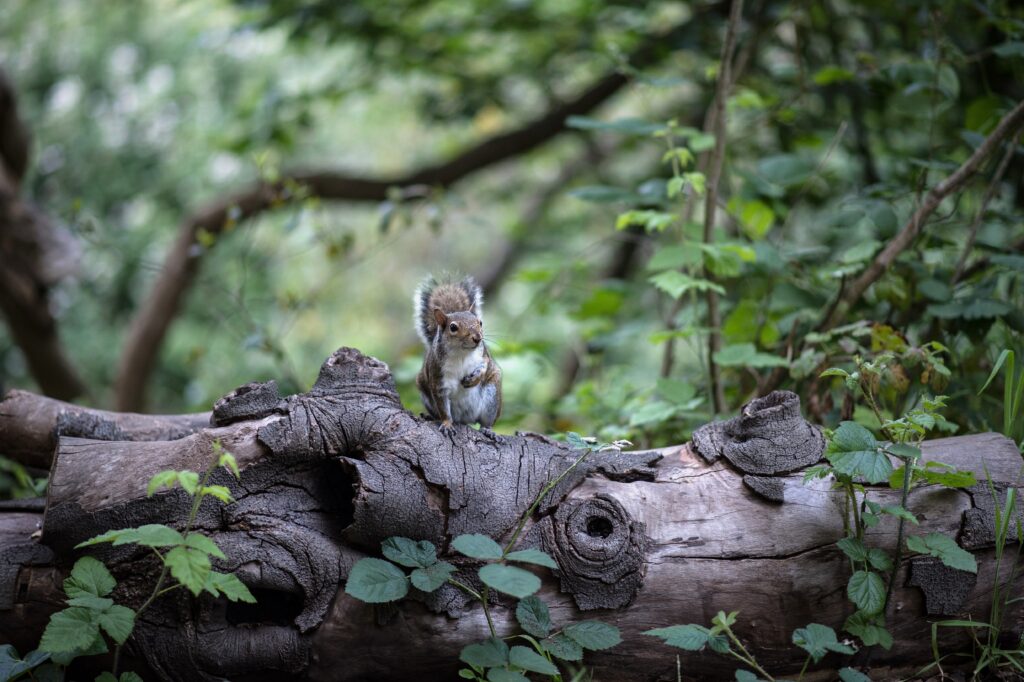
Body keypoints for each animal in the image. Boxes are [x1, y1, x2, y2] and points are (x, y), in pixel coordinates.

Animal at [414, 275, 502, 438]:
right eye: (453, 327)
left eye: (480, 322)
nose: (477, 338)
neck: (462, 353)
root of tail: (465, 419)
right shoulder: (438, 380)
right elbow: (444, 410)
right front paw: (447, 424)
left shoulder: (483, 355)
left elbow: (484, 365)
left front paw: (473, 379)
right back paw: (431, 416)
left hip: (492, 398)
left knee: (486, 421)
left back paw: (488, 430)